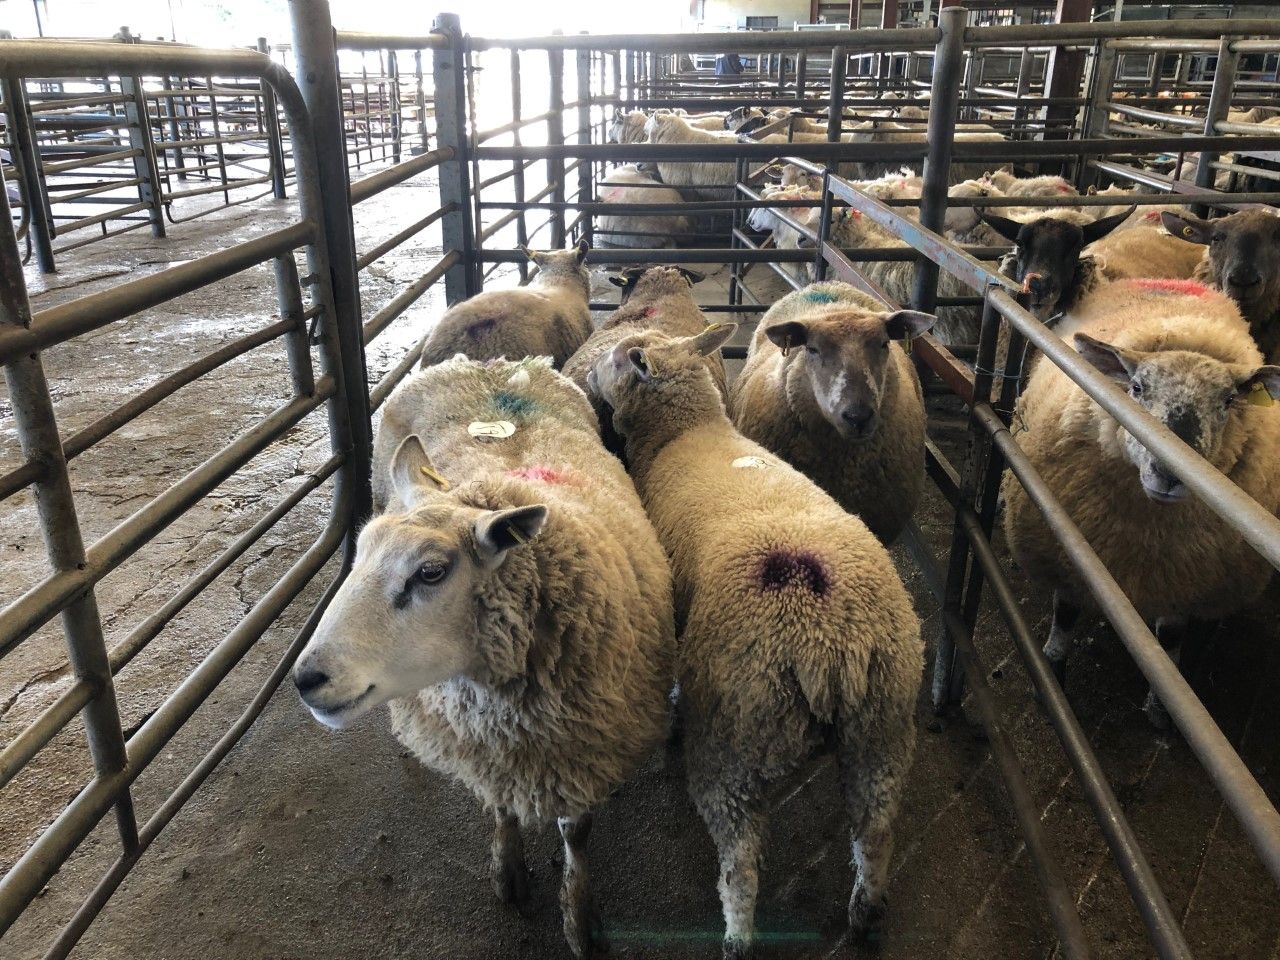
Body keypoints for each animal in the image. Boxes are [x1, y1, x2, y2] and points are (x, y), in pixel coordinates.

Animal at [296, 355, 675, 959]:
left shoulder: (586, 748)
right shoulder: (488, 748)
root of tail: (492, 363)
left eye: (430, 572)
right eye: (359, 553)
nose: (305, 679)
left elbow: (577, 836)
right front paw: (509, 870)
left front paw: (580, 919)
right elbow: (500, 808)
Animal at [587, 325, 923, 958]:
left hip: (735, 734)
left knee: (740, 862)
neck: (687, 434)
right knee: (877, 828)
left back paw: (736, 937)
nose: (591, 369)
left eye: (619, 360)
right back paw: (866, 911)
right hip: (883, 726)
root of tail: (828, 646)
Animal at [1001, 277, 1280, 726]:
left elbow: (1169, 636)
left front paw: (1160, 707)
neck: (1146, 536)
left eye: (1227, 401)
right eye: (1136, 388)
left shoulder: (1186, 581)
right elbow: (1066, 612)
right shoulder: (1068, 549)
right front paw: (1053, 670)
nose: (1169, 473)